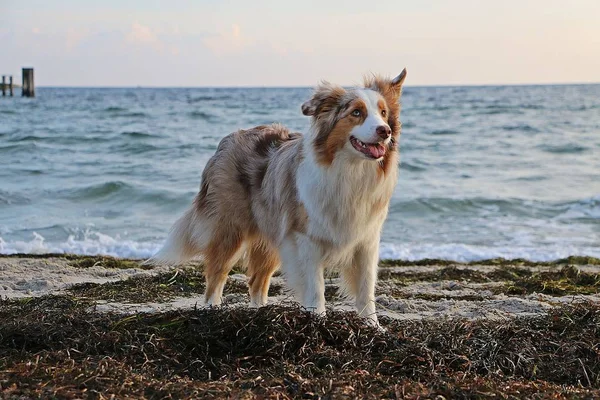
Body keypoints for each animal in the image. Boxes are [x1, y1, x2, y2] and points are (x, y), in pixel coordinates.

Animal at [152, 69, 408, 324]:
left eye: (383, 114)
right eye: (356, 112)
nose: (384, 131)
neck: (350, 172)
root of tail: (227, 140)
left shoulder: (366, 240)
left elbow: (366, 291)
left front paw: (373, 327)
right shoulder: (306, 239)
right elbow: (316, 290)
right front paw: (319, 323)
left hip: (272, 236)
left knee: (256, 281)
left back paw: (261, 313)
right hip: (230, 229)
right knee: (216, 275)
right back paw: (210, 312)